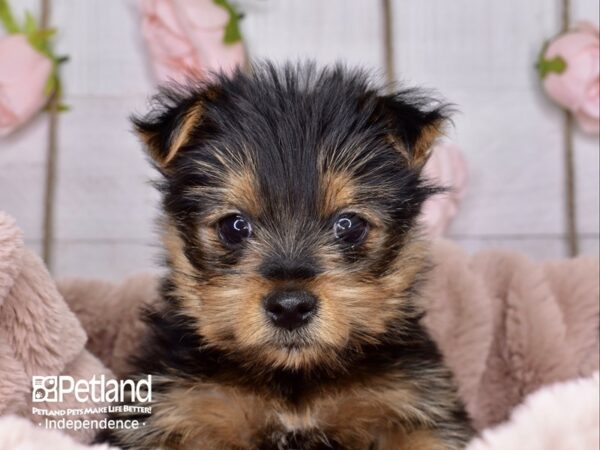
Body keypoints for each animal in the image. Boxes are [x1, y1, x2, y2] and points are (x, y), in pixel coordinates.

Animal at [106, 63, 474, 450]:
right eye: (234, 226)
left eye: (349, 225)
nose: (290, 307)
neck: (294, 377)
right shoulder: (169, 410)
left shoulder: (414, 406)